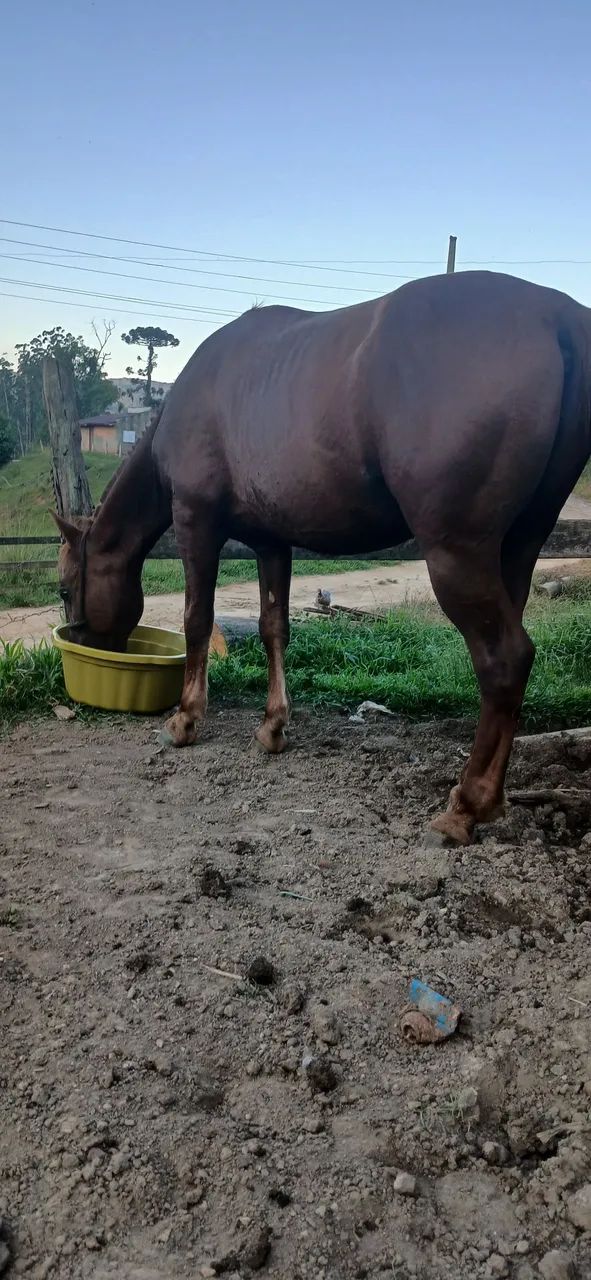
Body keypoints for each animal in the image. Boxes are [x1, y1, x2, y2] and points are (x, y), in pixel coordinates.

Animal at [55, 270, 591, 845]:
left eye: (64, 589)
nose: (87, 649)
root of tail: (558, 316)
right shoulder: (271, 542)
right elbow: (273, 627)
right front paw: (272, 727)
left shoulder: (198, 524)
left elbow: (197, 620)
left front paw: (185, 719)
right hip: (517, 548)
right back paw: (492, 797)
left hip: (457, 555)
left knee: (505, 660)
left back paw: (467, 805)